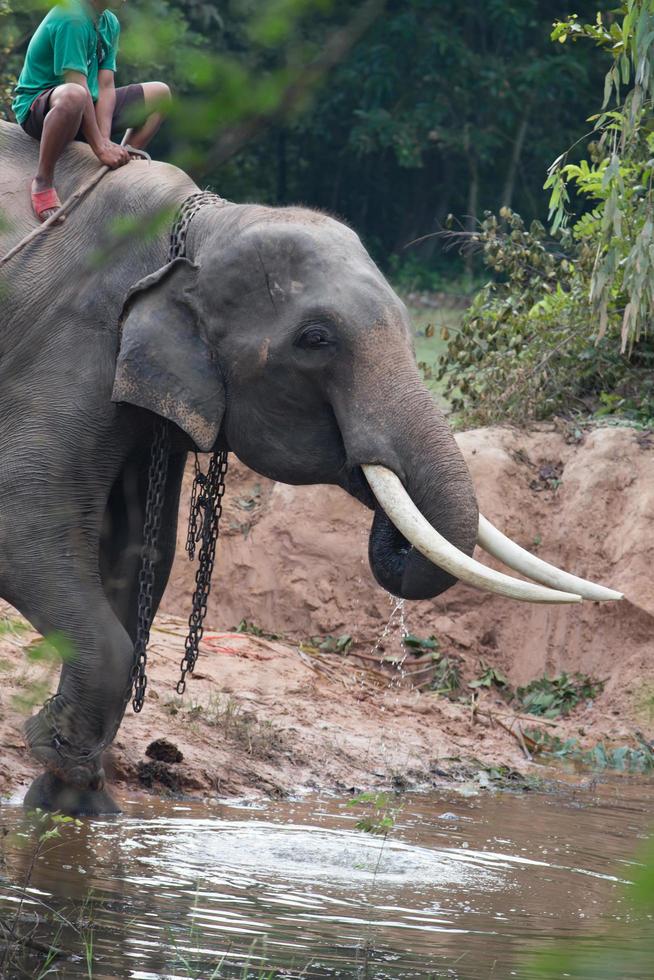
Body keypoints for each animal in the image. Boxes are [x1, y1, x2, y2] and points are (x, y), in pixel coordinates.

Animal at [0, 118, 624, 816]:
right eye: (316, 340)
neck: (200, 227)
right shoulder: (73, 341)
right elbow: (22, 523)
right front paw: (56, 770)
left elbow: (138, 557)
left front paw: (76, 809)